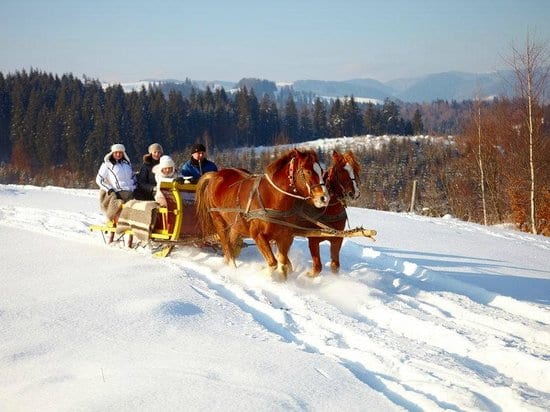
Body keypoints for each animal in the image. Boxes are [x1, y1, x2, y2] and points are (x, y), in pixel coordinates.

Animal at [196, 149, 330, 280]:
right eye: (308, 171)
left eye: (322, 171)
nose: (324, 198)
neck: (273, 197)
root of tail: (215, 175)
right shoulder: (258, 235)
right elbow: (273, 263)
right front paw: (266, 275)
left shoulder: (286, 236)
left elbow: (283, 263)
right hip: (218, 220)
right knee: (226, 246)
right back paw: (232, 267)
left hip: (235, 225)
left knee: (232, 244)